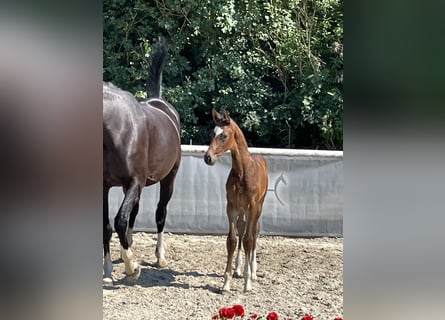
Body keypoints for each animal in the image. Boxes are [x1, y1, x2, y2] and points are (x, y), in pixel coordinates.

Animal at [102, 38, 180, 284]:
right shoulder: (105, 186)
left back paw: (159, 257)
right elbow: (107, 225)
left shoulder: (135, 181)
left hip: (168, 179)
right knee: (133, 215)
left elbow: (119, 220)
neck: (117, 130)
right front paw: (108, 271)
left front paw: (132, 268)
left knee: (160, 214)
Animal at [205, 109, 268, 292]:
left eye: (224, 135)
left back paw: (252, 272)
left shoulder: (252, 206)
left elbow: (248, 240)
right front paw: (226, 282)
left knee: (254, 232)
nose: (208, 158)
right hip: (241, 209)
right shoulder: (231, 206)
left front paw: (247, 282)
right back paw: (238, 269)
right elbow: (232, 240)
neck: (242, 172)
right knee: (242, 227)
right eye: (212, 133)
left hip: (258, 207)